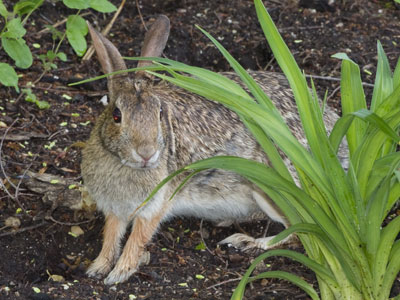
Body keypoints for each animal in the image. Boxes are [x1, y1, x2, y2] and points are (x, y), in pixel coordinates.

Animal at [82, 15, 346, 284]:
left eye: (159, 113)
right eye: (116, 115)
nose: (147, 153)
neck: (123, 163)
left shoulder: (154, 205)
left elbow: (137, 239)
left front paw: (119, 273)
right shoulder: (114, 209)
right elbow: (110, 236)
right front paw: (98, 267)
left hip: (273, 188)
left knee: (298, 233)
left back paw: (247, 242)